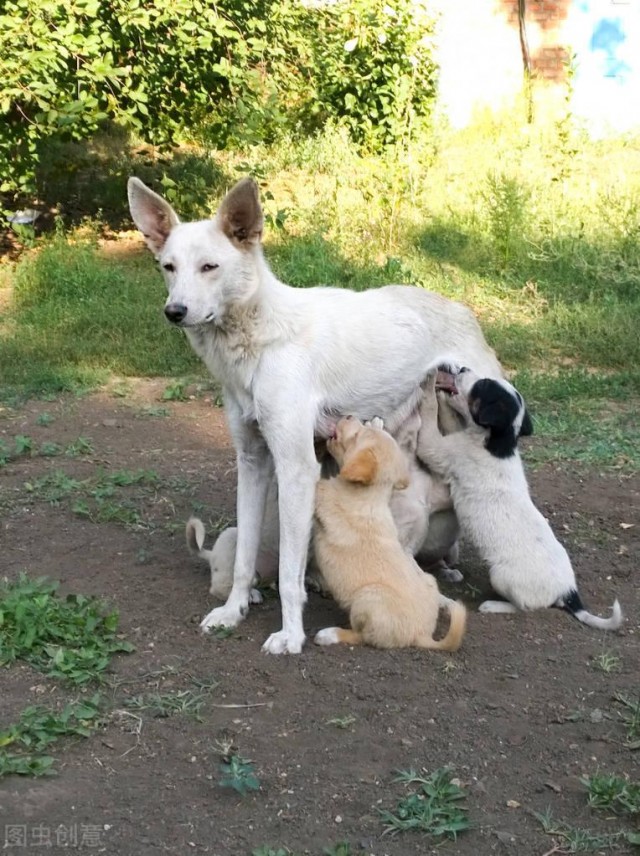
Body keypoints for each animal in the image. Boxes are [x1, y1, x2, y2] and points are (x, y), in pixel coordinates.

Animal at [314, 414, 468, 648]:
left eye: (356, 436)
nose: (349, 415)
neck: (371, 495)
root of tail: (421, 634)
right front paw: (378, 424)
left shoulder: (323, 498)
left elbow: (314, 483)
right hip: (428, 579)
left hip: (367, 598)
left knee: (363, 636)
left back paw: (329, 634)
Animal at [418, 362, 624, 628]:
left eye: (482, 385)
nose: (462, 368)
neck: (498, 442)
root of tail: (568, 592)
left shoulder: (441, 450)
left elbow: (430, 421)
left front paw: (431, 391)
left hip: (501, 577)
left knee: (525, 608)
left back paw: (493, 605)